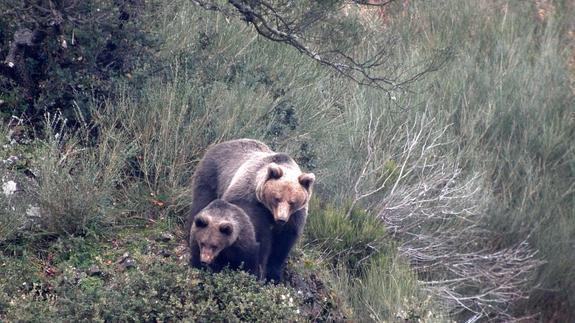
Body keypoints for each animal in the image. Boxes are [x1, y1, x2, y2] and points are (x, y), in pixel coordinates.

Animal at [187, 139, 316, 280]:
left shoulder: (295, 217)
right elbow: (259, 237)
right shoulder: (249, 200)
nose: (281, 219)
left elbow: (283, 243)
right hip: (211, 175)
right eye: (277, 198)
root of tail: (224, 143)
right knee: (201, 201)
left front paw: (273, 275)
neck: (269, 210)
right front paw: (260, 271)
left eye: (292, 202)